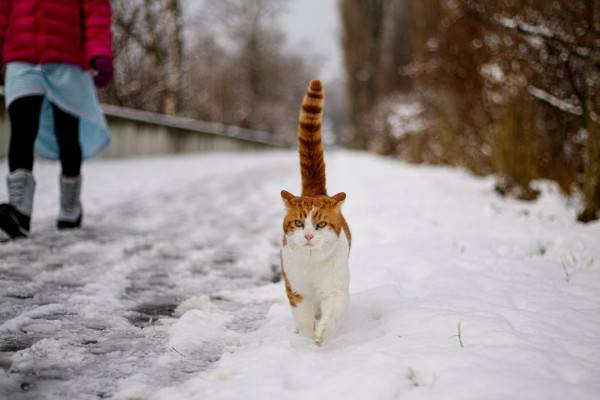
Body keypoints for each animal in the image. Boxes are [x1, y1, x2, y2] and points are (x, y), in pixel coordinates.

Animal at [282, 79, 352, 346]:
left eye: (320, 225)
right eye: (299, 223)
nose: (309, 236)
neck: (312, 264)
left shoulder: (335, 287)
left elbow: (331, 312)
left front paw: (321, 336)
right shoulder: (297, 289)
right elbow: (303, 317)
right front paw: (305, 339)